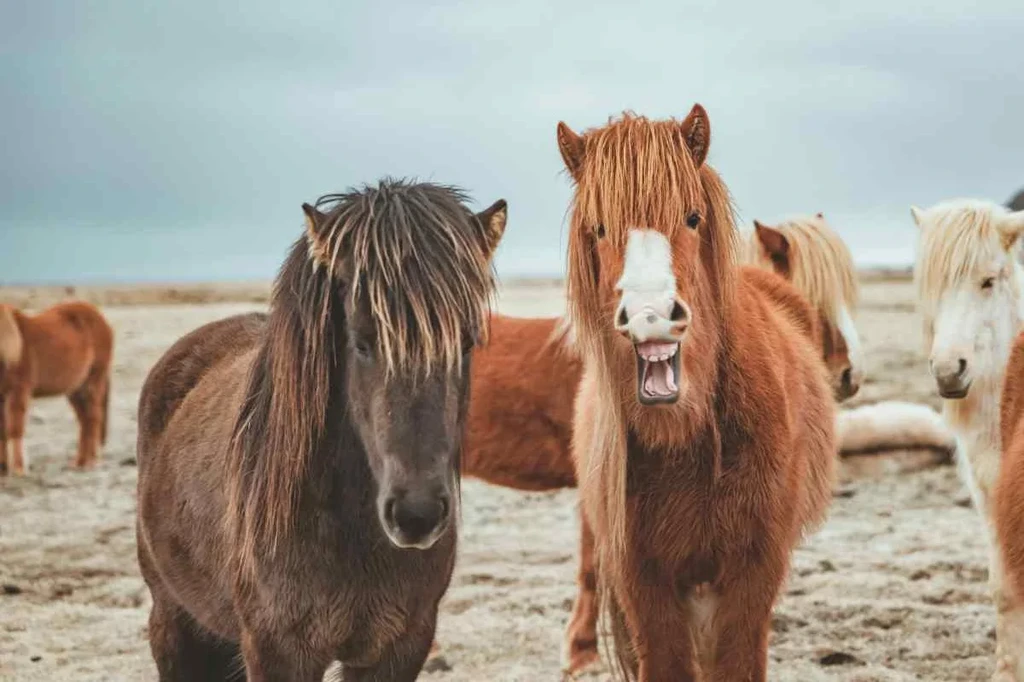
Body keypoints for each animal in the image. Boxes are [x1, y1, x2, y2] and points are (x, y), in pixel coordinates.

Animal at [0, 301, 113, 475]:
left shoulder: (17, 392)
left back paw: (89, 462)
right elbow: (2, 432)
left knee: (93, 419)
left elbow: (14, 429)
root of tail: (99, 317)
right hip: (76, 390)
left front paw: (19, 469)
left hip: (93, 382)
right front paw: (3, 468)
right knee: (84, 421)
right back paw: (80, 462)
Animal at [132, 180, 507, 679]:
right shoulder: (277, 649)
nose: (417, 514)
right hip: (174, 621)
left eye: (465, 343)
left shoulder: (400, 647)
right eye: (361, 342)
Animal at [552, 103, 831, 675]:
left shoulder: (752, 572)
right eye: (599, 227)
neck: (690, 441)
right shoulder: (644, 582)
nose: (651, 316)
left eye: (693, 217)